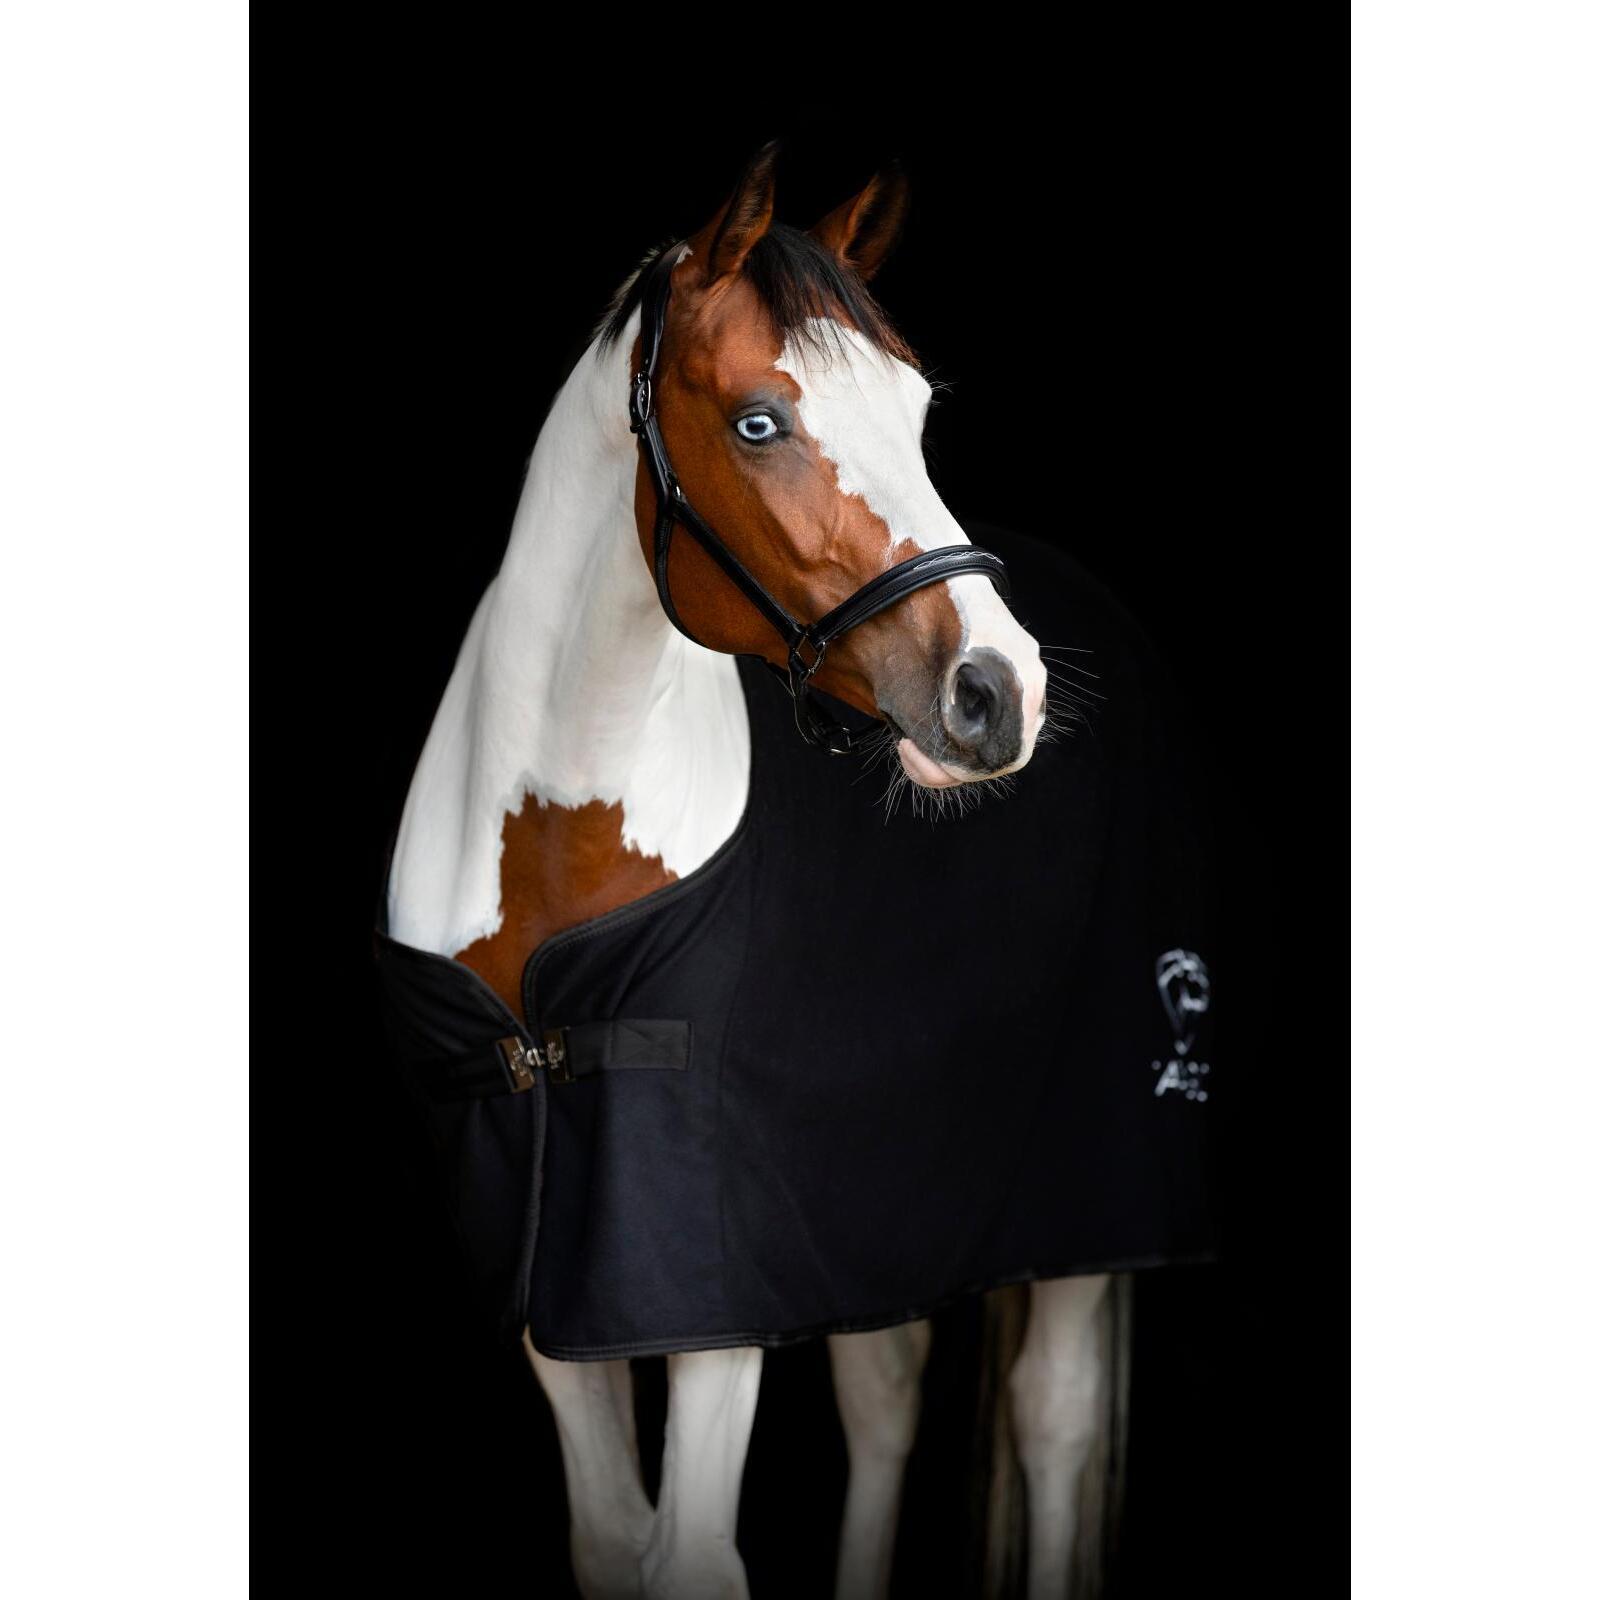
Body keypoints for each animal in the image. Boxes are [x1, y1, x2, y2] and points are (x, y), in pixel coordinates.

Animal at [378, 141, 1208, 1599]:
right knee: (885, 1393)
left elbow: (693, 1556)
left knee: (1049, 1416)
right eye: (760, 424)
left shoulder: (708, 1293)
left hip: (1088, 1194)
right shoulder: (559, 1305)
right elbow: (615, 1541)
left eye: (919, 411)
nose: (1000, 689)